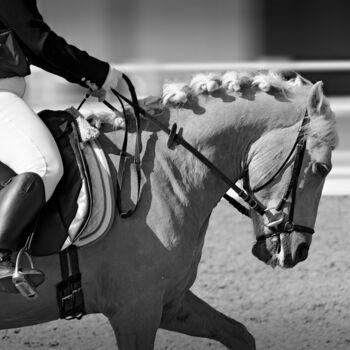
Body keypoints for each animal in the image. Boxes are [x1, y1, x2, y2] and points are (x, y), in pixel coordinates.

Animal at [0, 72, 336, 350]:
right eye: (322, 168)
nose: (300, 250)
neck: (161, 170)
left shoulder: (168, 301)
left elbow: (240, 335)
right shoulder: (136, 310)